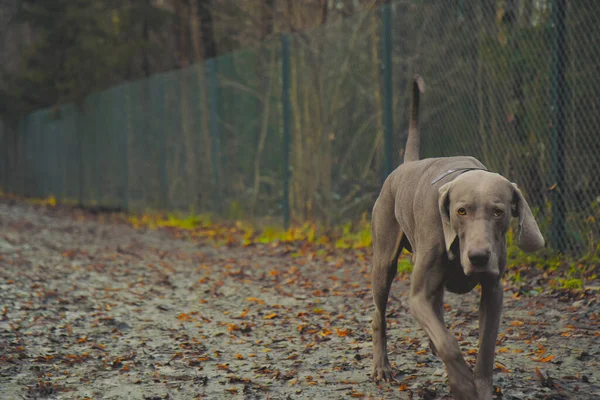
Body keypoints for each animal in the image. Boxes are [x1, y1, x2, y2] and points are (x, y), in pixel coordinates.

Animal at [368, 76, 548, 400]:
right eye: (461, 211)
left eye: (499, 212)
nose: (478, 257)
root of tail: (404, 166)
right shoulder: (417, 296)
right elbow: (449, 343)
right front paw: (462, 383)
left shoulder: (494, 291)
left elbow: (486, 349)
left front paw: (480, 386)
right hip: (384, 260)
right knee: (380, 314)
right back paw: (382, 368)